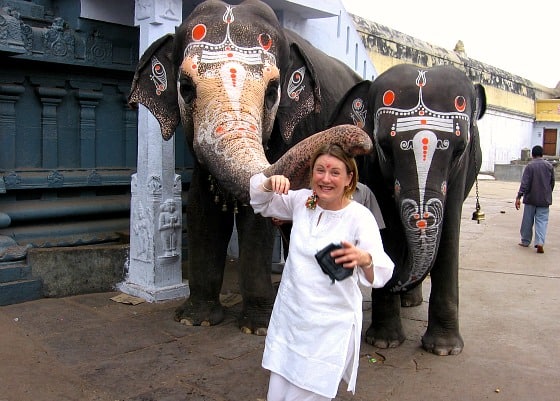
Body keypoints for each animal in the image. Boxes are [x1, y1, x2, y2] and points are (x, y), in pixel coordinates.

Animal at [127, 0, 368, 332]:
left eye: (272, 92)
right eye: (186, 88)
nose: (362, 140)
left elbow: (257, 219)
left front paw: (257, 327)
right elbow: (202, 208)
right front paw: (195, 320)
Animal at [330, 62, 484, 354]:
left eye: (459, 150)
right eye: (385, 148)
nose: (391, 281)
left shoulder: (461, 172)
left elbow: (449, 229)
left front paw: (444, 350)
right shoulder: (374, 166)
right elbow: (386, 225)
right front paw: (384, 342)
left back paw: (410, 302)